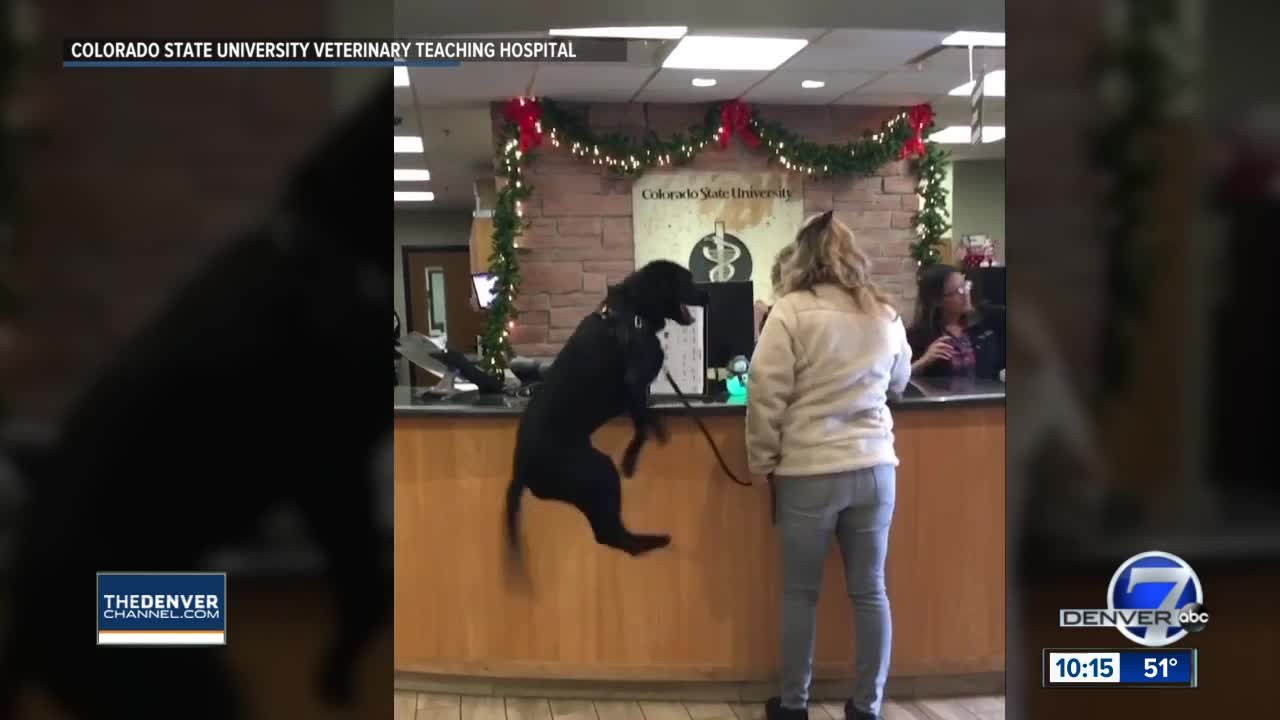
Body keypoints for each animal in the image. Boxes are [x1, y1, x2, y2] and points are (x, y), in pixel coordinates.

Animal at [501, 257, 711, 571]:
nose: (708, 295)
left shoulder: (636, 390)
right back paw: (648, 543)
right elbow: (643, 422)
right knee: (608, 534)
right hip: (598, 473)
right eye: (686, 280)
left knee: (607, 533)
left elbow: (643, 417)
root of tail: (520, 471)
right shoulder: (635, 382)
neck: (635, 311)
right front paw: (635, 455)